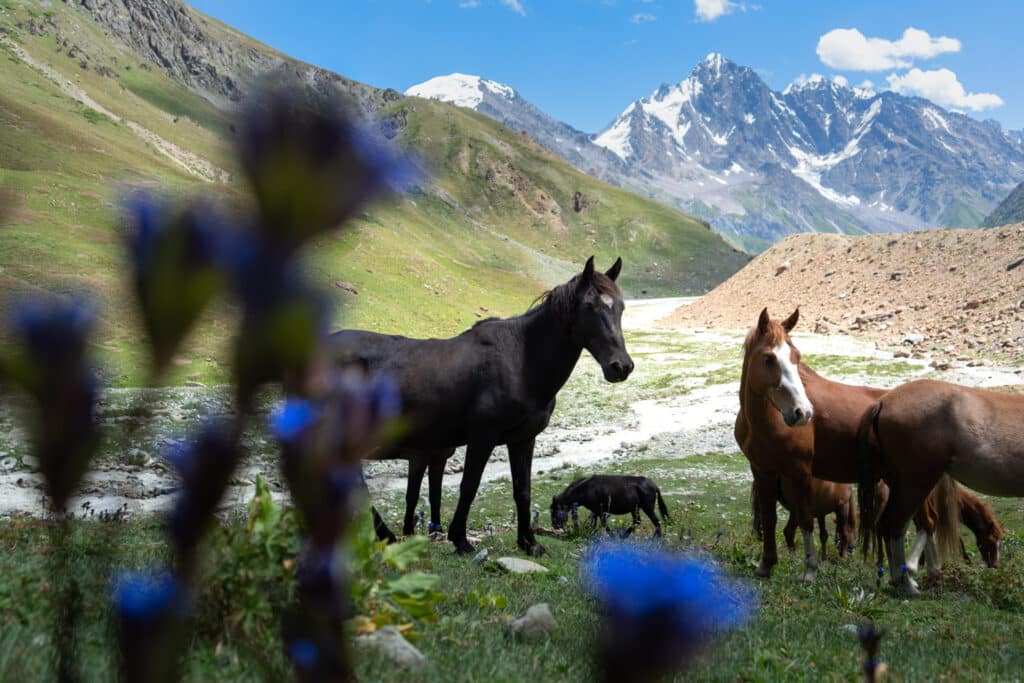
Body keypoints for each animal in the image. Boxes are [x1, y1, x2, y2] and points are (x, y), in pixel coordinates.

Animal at [329, 256, 634, 555]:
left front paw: (528, 542)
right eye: (590, 307)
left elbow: (522, 490)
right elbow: (469, 486)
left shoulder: (523, 439)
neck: (521, 361)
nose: (621, 367)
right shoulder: (482, 438)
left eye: (620, 307)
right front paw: (460, 540)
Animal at [736, 307, 902, 582]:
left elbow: (806, 520)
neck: (766, 420)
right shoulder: (762, 470)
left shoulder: (800, 472)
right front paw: (766, 565)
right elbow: (769, 519)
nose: (802, 412)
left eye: (796, 357)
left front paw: (810, 570)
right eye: (769, 358)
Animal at [857, 380, 1019, 594]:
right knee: (895, 524)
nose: (994, 565)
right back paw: (906, 584)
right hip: (914, 485)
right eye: (993, 539)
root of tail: (883, 402)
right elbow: (929, 526)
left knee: (886, 525)